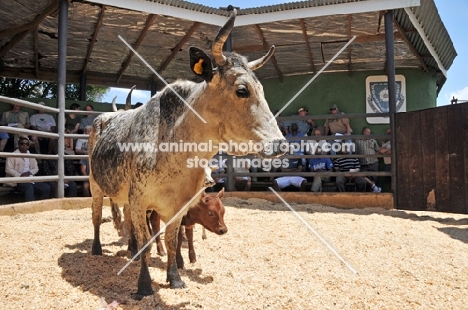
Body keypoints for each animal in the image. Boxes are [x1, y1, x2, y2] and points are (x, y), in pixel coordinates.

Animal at [88, 9, 286, 300]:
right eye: (242, 90)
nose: (280, 144)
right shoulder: (139, 201)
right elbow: (149, 244)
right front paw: (144, 285)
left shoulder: (176, 208)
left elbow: (173, 242)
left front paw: (175, 278)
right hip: (95, 186)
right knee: (96, 217)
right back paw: (96, 248)